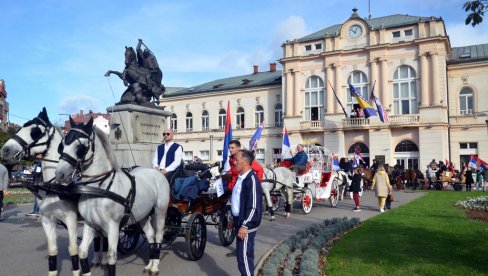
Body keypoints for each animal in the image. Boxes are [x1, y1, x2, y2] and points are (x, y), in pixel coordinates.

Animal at [0, 108, 80, 276]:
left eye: (34, 132)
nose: (5, 150)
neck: (56, 187)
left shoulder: (71, 220)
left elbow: (74, 250)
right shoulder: (48, 221)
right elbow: (52, 251)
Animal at [54, 117, 170, 276]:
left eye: (80, 147)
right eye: (62, 145)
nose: (59, 174)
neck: (98, 188)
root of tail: (156, 172)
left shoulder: (113, 226)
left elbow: (111, 256)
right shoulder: (90, 224)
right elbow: (82, 252)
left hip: (160, 212)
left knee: (158, 237)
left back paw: (155, 266)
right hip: (142, 216)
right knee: (151, 237)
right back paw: (150, 264)